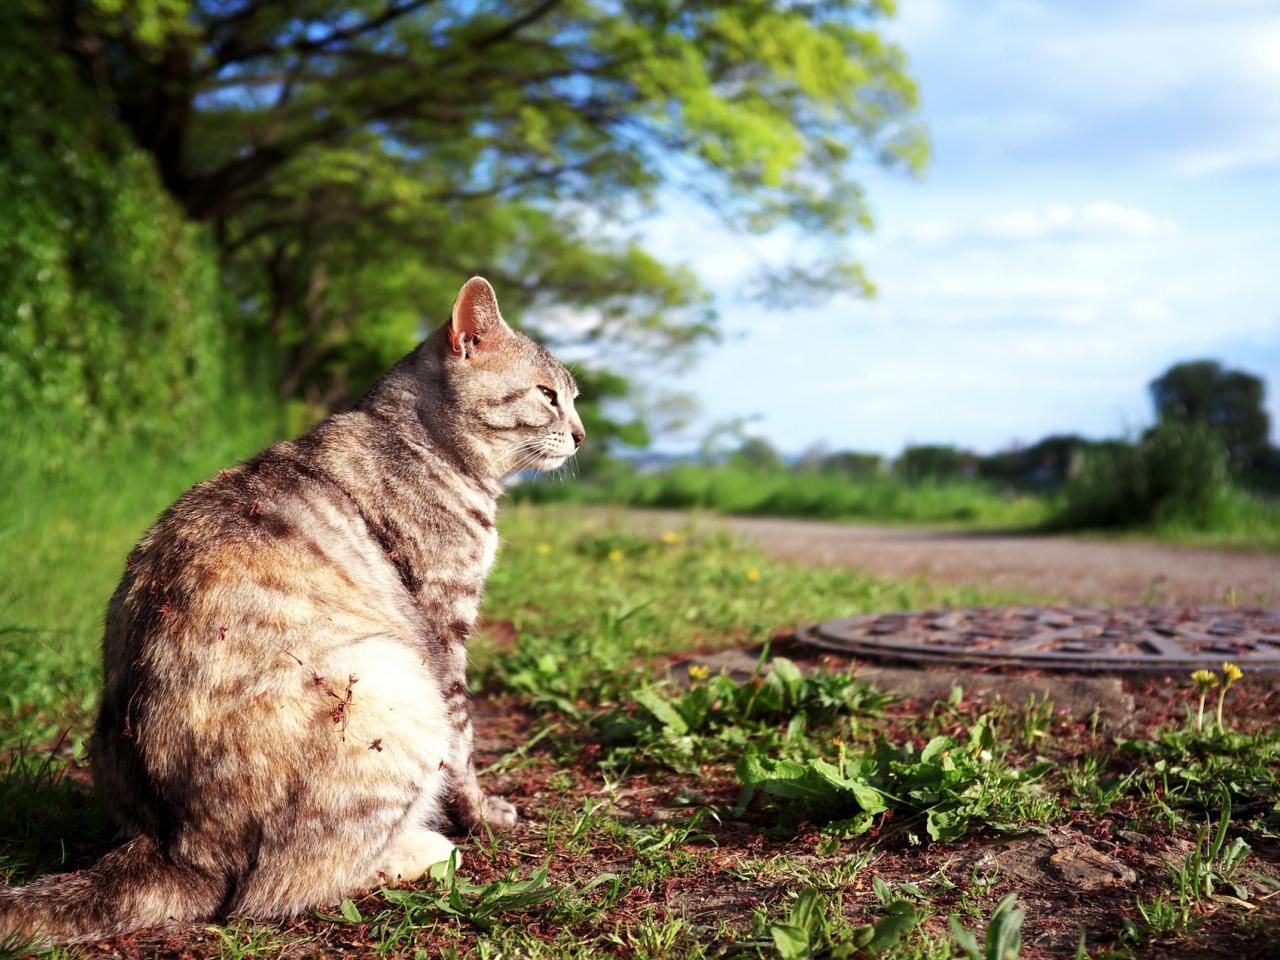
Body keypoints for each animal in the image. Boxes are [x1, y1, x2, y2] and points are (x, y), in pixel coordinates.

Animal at [0, 276, 586, 947]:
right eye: (548, 396)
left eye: (574, 399)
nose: (582, 434)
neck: (423, 444)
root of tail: (172, 846)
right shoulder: (444, 631)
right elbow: (463, 746)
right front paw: (482, 814)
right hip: (393, 678)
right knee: (290, 883)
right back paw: (425, 850)